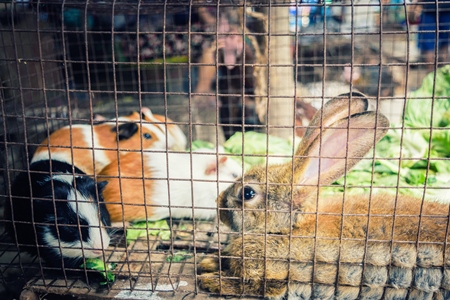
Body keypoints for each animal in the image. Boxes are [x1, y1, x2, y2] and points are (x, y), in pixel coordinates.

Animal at [200, 92, 450, 298]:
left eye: (248, 193)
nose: (219, 206)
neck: (290, 228)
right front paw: (210, 261)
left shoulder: (275, 278)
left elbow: (248, 285)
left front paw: (210, 279)